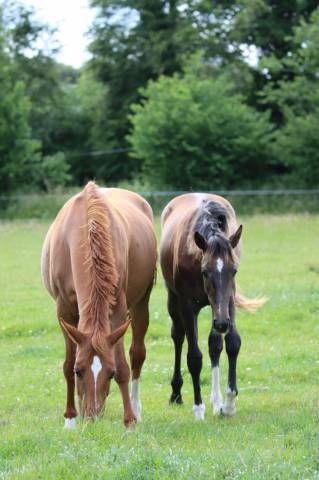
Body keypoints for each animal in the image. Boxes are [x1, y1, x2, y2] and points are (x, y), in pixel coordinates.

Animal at [42, 181, 157, 428]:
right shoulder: (64, 309)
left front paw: (129, 421)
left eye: (110, 373)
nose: (92, 417)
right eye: (79, 371)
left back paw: (135, 408)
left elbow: (123, 365)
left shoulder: (118, 309)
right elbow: (67, 363)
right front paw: (70, 419)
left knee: (137, 354)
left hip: (141, 303)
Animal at [160, 194, 264, 420]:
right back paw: (176, 393)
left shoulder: (228, 302)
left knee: (214, 344)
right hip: (174, 301)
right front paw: (198, 409)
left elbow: (231, 343)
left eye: (234, 271)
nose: (223, 323)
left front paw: (229, 404)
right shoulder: (187, 305)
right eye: (205, 271)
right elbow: (194, 357)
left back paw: (217, 401)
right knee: (178, 336)